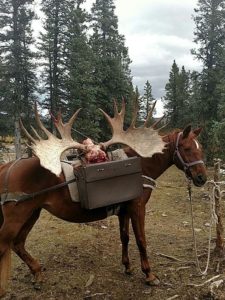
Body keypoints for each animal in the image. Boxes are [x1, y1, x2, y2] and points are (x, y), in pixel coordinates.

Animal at [0, 123, 207, 294]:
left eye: (201, 149)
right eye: (187, 148)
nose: (201, 178)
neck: (140, 167)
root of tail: (7, 167)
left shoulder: (124, 211)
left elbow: (125, 237)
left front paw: (127, 266)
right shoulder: (137, 208)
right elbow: (141, 240)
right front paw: (149, 275)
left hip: (32, 213)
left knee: (18, 244)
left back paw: (37, 274)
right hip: (17, 217)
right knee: (6, 245)